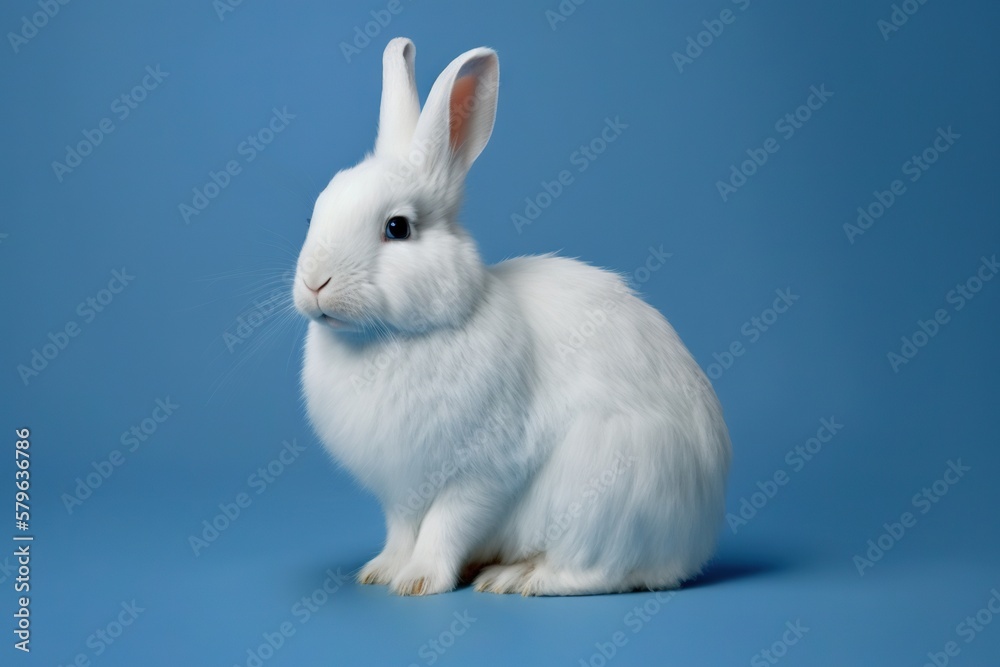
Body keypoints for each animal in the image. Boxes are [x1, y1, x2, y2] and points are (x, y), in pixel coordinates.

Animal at [292, 39, 732, 596]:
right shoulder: (401, 492)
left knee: (597, 572)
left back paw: (514, 578)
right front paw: (383, 571)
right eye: (314, 214)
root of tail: (696, 542)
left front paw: (419, 580)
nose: (315, 283)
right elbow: (403, 530)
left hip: (604, 487)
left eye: (397, 228)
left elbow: (444, 526)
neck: (395, 338)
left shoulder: (480, 473)